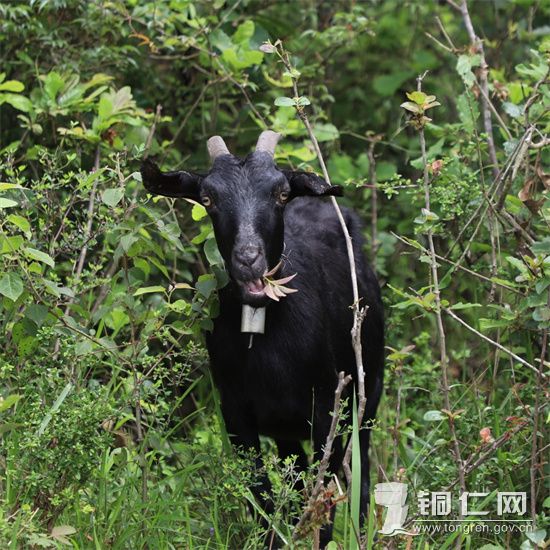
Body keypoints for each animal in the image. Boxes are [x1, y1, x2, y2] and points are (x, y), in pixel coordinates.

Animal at [141, 130, 384, 548]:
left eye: (282, 193)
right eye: (208, 198)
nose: (248, 258)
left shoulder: (327, 411)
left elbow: (323, 499)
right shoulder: (237, 414)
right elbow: (262, 498)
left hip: (370, 393)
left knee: (361, 472)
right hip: (287, 430)